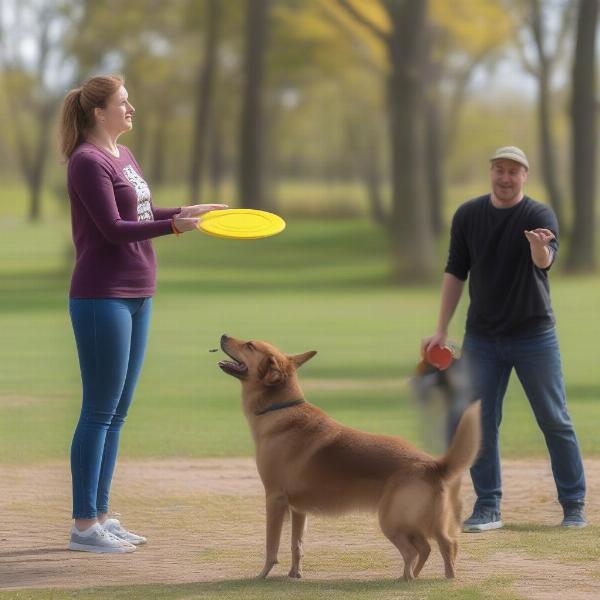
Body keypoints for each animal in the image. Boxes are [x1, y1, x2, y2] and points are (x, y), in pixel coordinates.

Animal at [218, 336, 480, 580]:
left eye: (250, 345)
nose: (223, 335)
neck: (281, 409)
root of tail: (434, 465)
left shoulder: (274, 499)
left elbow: (271, 546)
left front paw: (262, 574)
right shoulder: (298, 509)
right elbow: (297, 544)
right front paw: (295, 573)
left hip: (393, 521)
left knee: (415, 551)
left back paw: (407, 578)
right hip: (422, 523)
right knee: (443, 545)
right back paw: (439, 577)